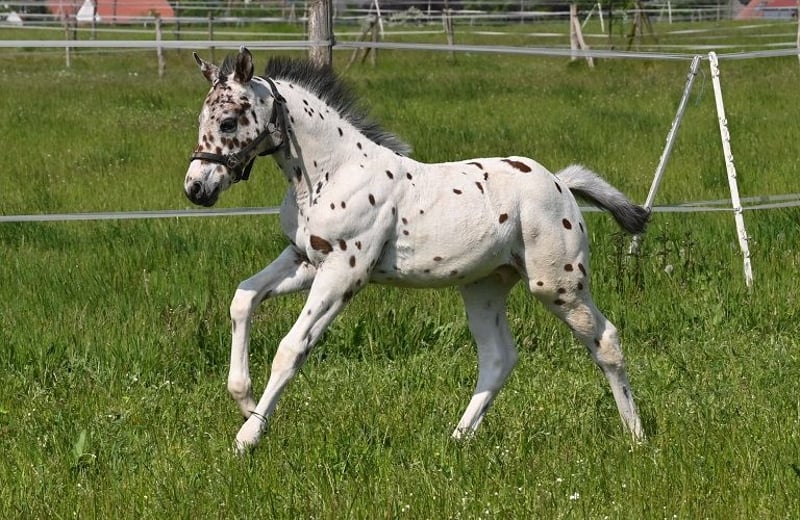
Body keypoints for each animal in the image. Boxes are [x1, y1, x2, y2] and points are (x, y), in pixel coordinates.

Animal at [184, 47, 649, 453]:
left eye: (229, 122)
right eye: (202, 118)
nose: (196, 188)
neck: (333, 173)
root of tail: (561, 184)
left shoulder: (344, 271)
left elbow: (291, 347)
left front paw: (247, 438)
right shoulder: (305, 260)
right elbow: (243, 298)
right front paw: (244, 401)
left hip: (557, 284)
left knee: (605, 340)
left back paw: (637, 437)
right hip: (484, 287)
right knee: (498, 358)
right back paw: (459, 438)